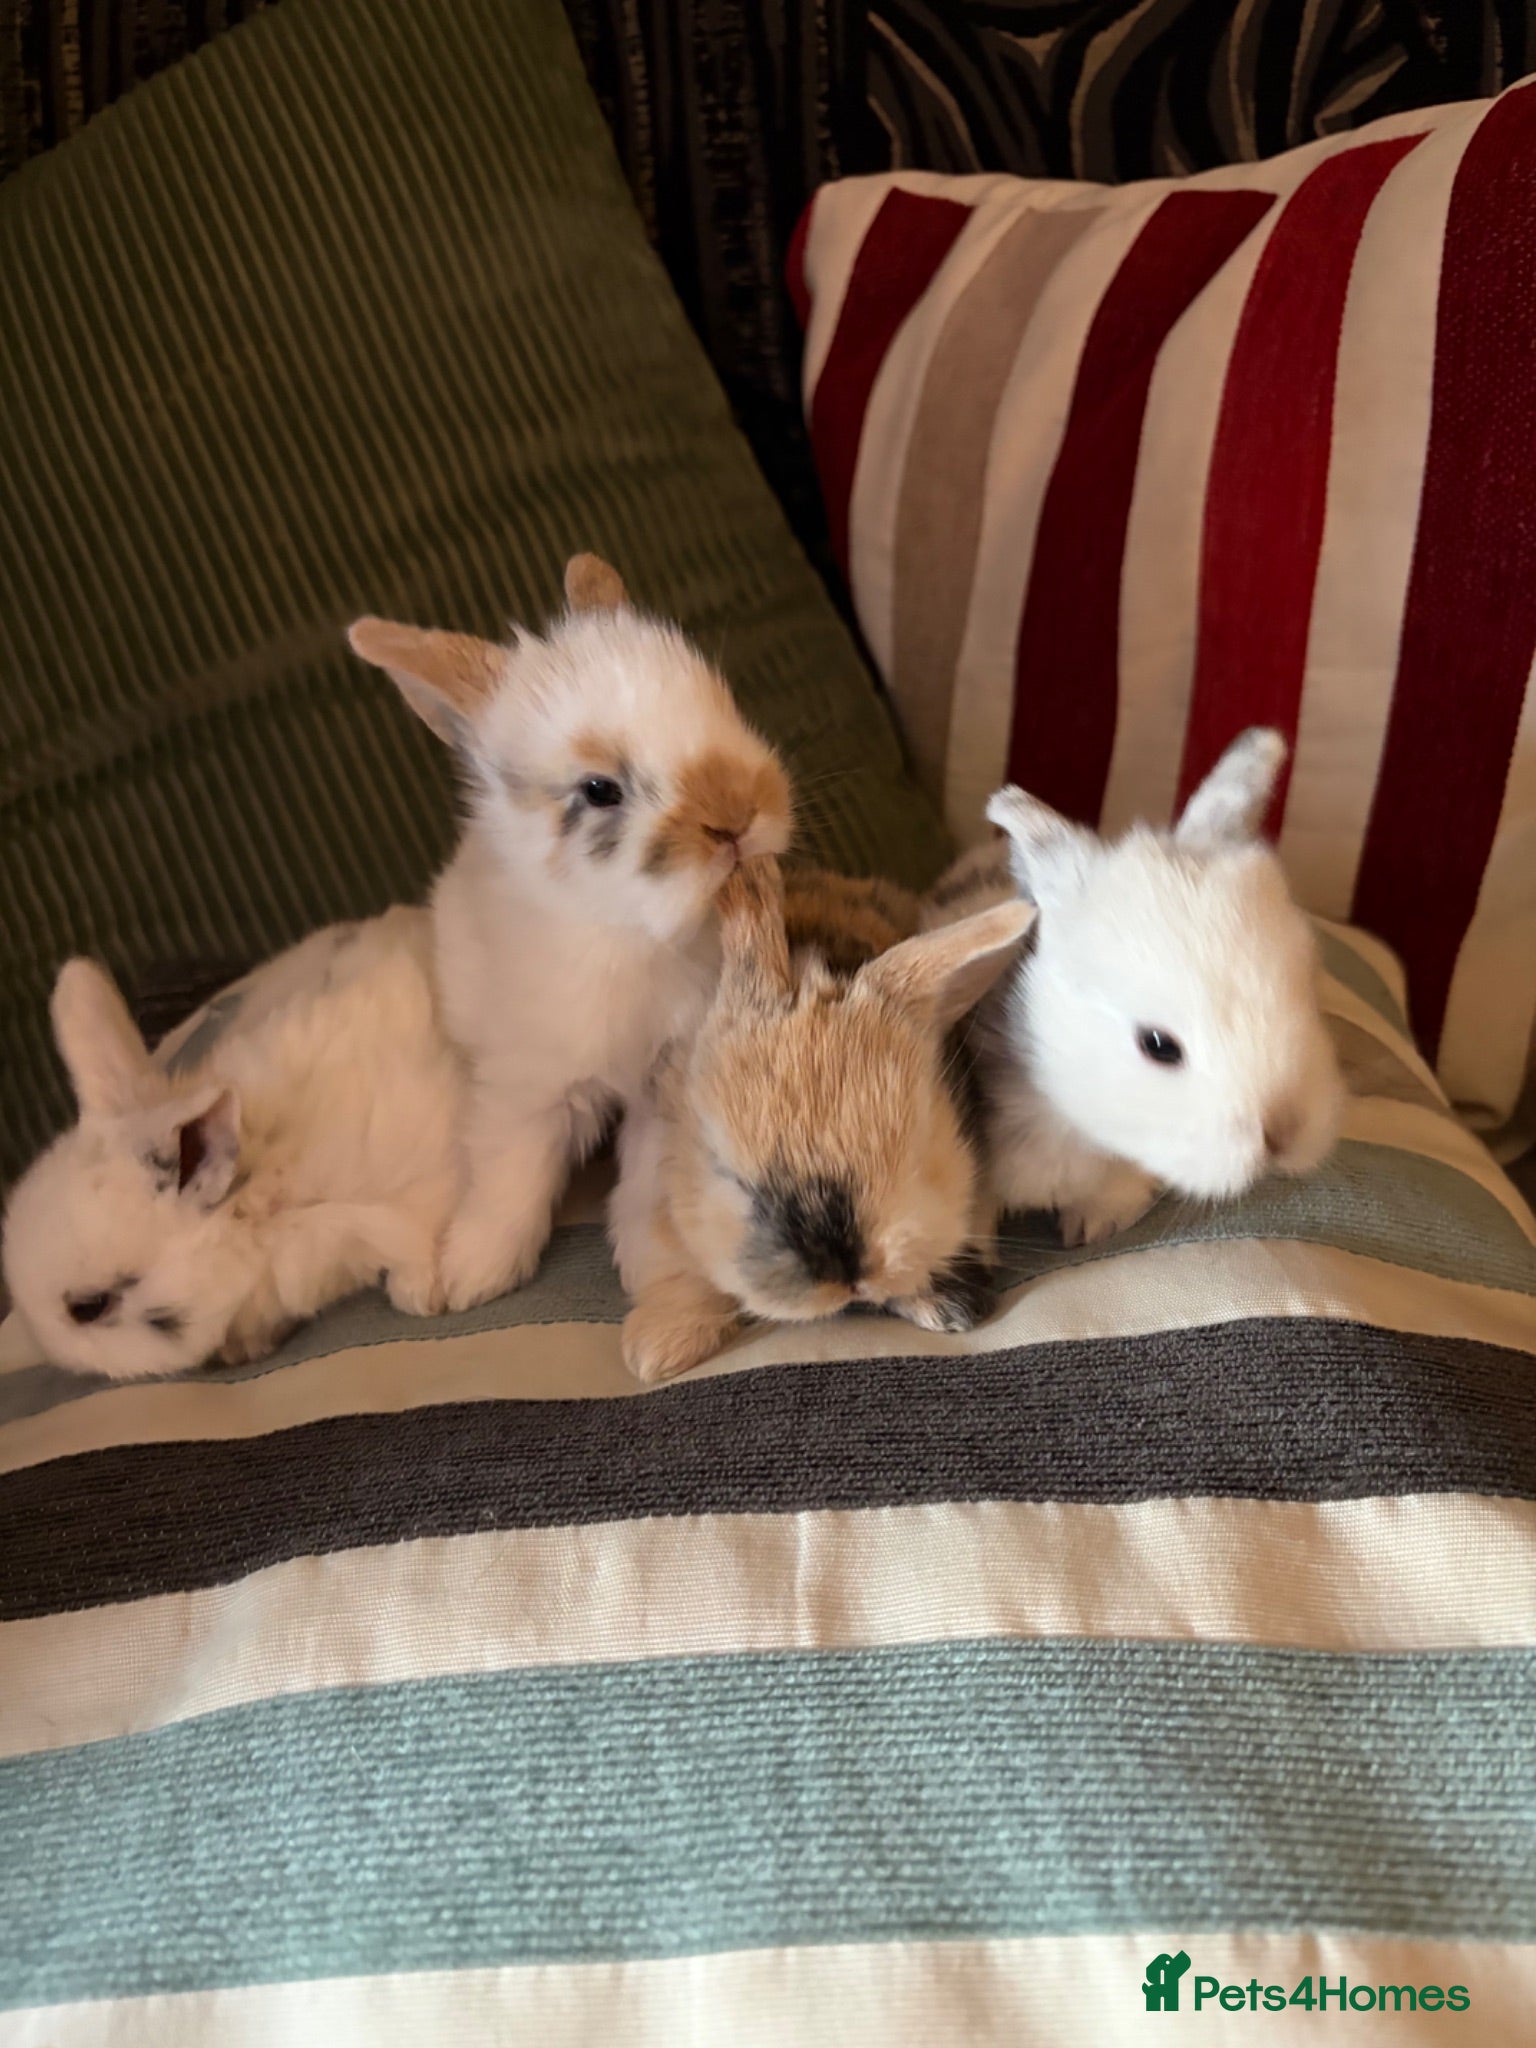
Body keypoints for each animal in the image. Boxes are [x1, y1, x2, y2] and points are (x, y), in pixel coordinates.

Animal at [347, 555, 793, 1313]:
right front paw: (473, 1273)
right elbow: (511, 1178)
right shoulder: (526, 1089)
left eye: (724, 705)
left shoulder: (667, 1084)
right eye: (599, 789)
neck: (625, 930)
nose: (737, 815)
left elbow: (648, 1189)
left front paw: (660, 1274)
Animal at [619, 855, 1032, 1385]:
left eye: (922, 1147)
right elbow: (673, 1267)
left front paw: (950, 1305)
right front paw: (656, 1351)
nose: (847, 1274)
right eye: (729, 1175)